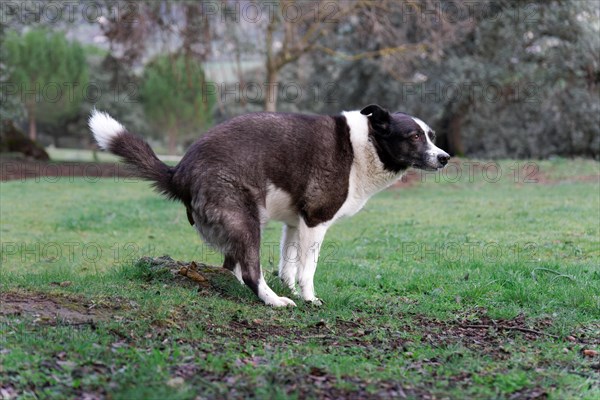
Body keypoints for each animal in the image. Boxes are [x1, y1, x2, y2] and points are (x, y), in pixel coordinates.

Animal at [88, 104, 446, 304]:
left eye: (431, 135)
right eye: (414, 137)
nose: (445, 157)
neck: (365, 144)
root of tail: (180, 171)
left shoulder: (295, 224)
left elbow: (288, 265)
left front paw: (291, 287)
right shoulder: (316, 221)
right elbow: (308, 269)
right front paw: (308, 298)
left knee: (233, 267)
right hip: (247, 221)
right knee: (249, 271)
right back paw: (274, 302)